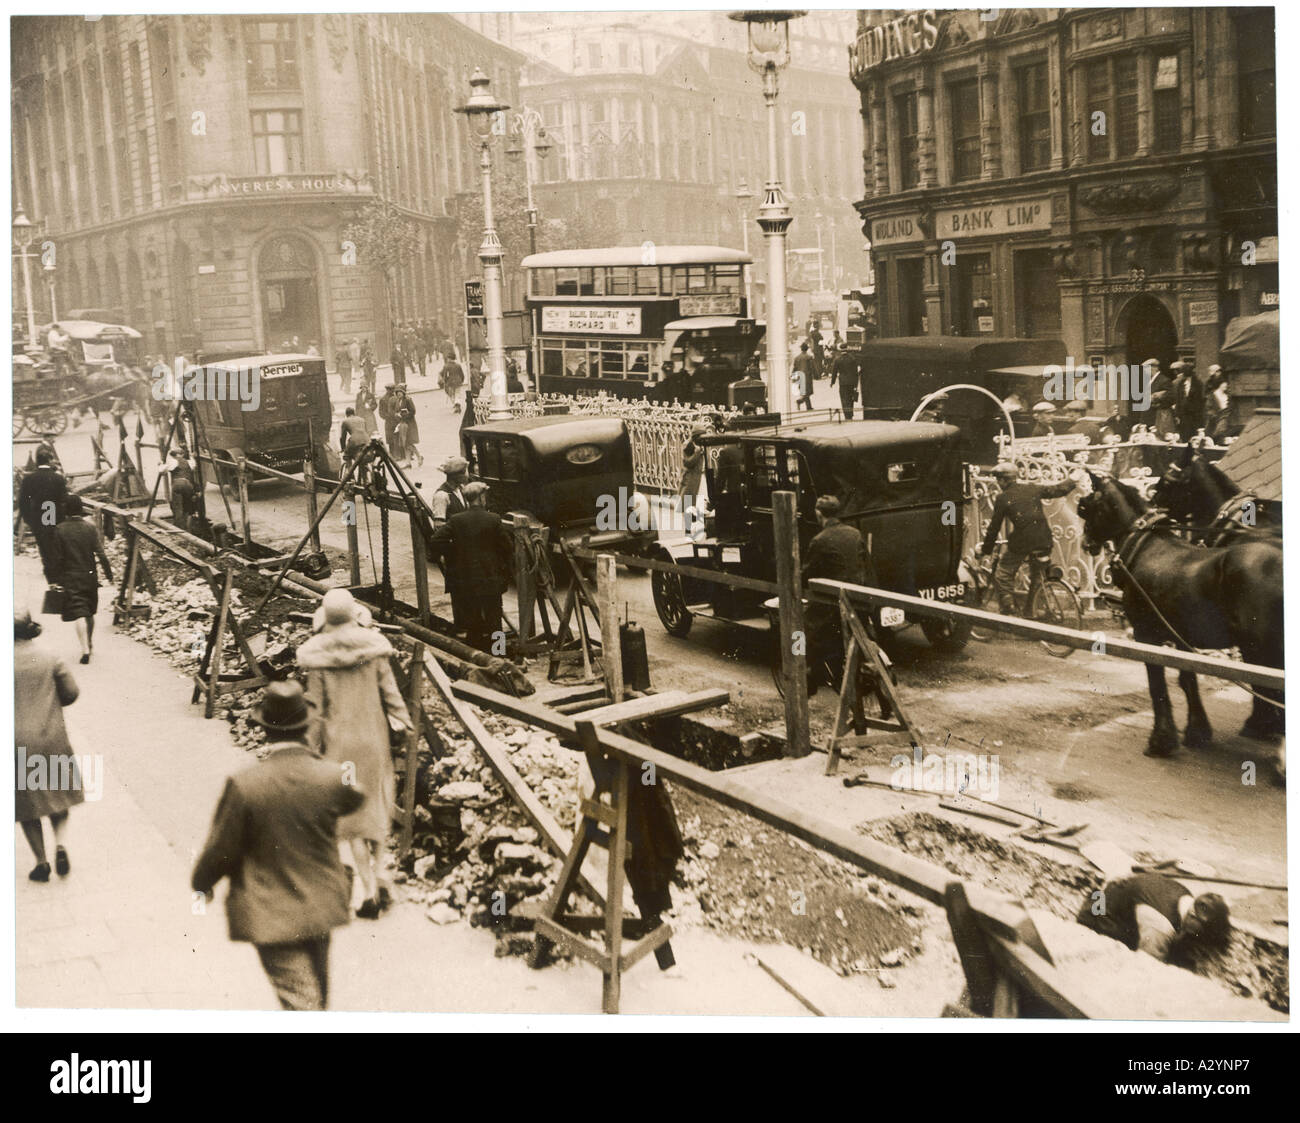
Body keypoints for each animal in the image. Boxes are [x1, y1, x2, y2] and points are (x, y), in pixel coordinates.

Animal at [1071, 473, 1284, 753]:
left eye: (1085, 506)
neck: (1145, 547)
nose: (1086, 543)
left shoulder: (1146, 633)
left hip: (1262, 647)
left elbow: (1156, 681)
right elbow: (1187, 680)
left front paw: (1161, 739)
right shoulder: (1183, 636)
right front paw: (1197, 731)